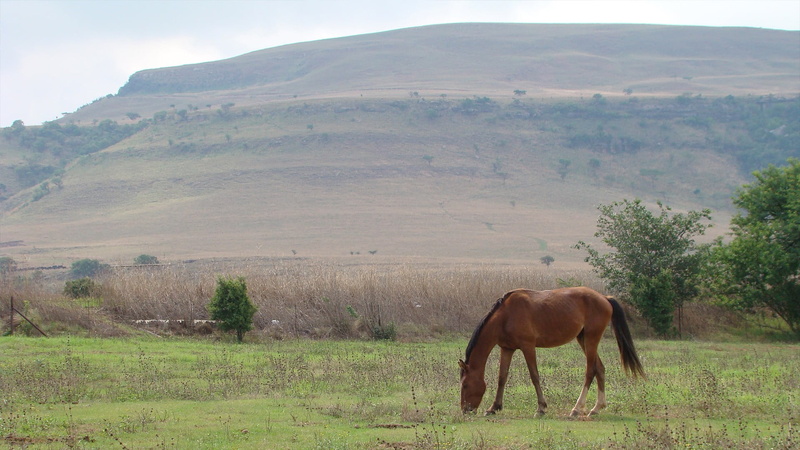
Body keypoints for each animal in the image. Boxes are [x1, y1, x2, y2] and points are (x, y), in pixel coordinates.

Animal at [458, 287, 644, 417]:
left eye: (465, 384)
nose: (465, 410)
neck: (505, 316)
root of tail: (605, 298)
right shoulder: (507, 348)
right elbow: (502, 378)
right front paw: (494, 407)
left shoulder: (528, 347)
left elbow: (534, 376)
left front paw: (541, 408)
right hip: (583, 339)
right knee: (600, 369)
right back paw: (596, 408)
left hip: (591, 338)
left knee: (590, 371)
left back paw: (576, 409)